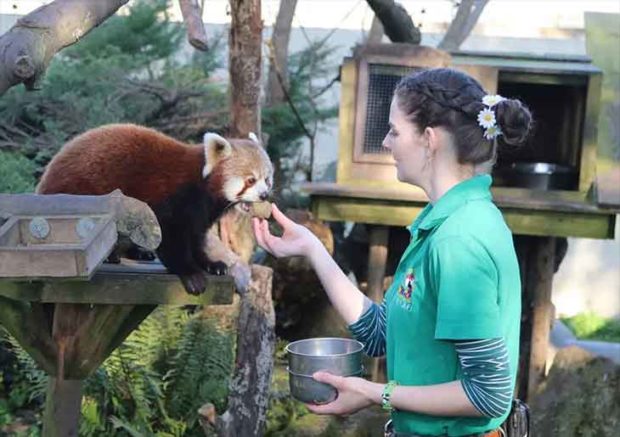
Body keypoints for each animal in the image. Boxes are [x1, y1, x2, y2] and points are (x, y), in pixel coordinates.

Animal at [37, 122, 272, 292]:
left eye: (267, 179)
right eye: (250, 180)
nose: (264, 194)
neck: (202, 185)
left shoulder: (201, 213)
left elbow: (196, 238)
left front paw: (210, 263)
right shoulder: (173, 199)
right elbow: (171, 238)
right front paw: (190, 273)